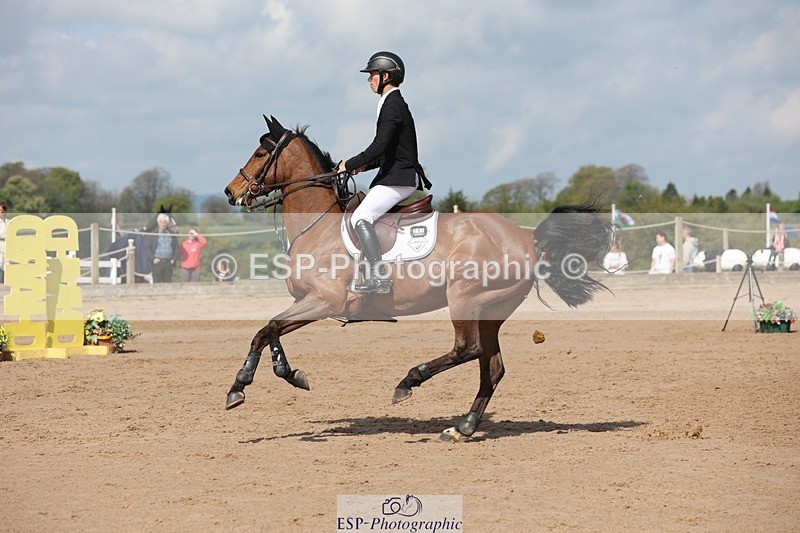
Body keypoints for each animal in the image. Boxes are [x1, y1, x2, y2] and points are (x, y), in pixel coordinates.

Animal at [223, 115, 614, 440]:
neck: (317, 226)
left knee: (468, 349)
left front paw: (239, 386)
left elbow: (267, 328)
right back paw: (463, 427)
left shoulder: (324, 301)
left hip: (464, 298)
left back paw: (410, 381)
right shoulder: (305, 302)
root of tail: (526, 236)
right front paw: (285, 373)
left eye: (260, 153)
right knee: (492, 367)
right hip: (491, 310)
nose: (230, 192)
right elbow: (271, 329)